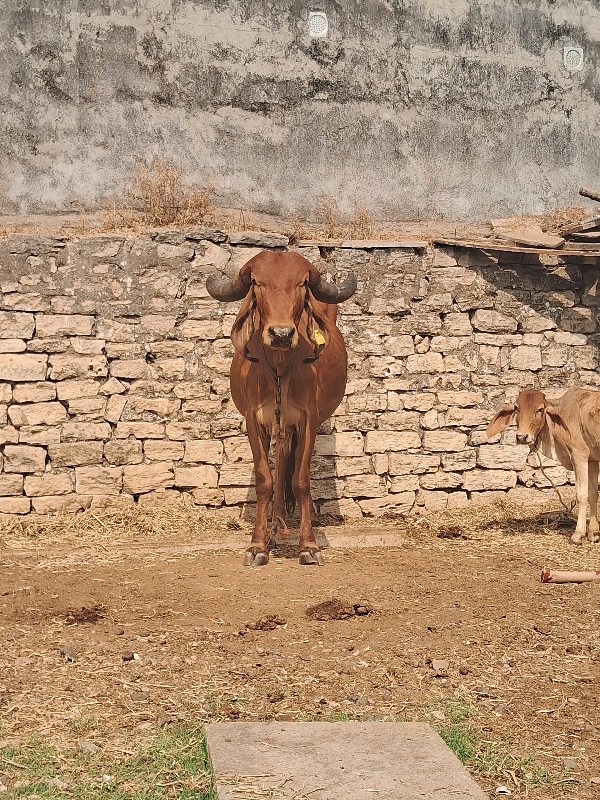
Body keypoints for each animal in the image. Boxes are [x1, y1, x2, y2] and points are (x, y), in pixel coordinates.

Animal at [206, 248, 356, 564]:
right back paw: (276, 525)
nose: (281, 334)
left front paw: (308, 545)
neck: (277, 367)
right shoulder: (254, 420)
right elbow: (265, 480)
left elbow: (300, 481)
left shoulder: (308, 420)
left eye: (301, 284)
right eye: (257, 283)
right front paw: (258, 545)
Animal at [486, 388, 600, 544]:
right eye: (516, 408)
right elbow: (593, 493)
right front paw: (594, 533)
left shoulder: (579, 454)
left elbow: (582, 495)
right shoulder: (593, 461)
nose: (522, 437)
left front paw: (578, 534)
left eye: (540, 409)